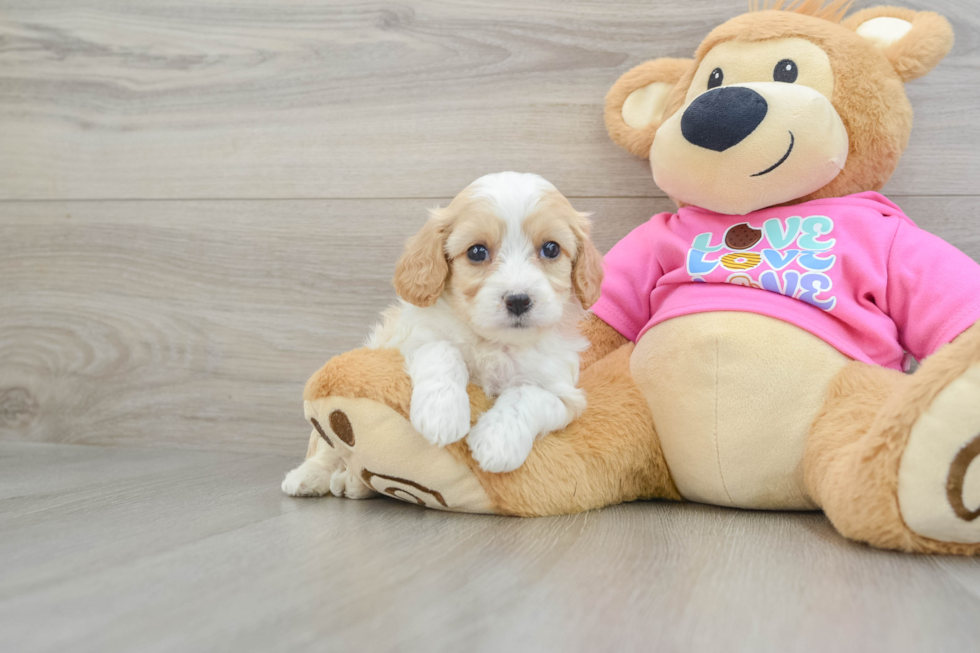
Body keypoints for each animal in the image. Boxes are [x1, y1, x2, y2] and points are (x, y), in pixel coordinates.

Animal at [366, 171, 600, 472]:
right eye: (477, 252)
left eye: (551, 249)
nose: (518, 300)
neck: (496, 343)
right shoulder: (409, 337)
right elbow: (441, 349)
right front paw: (441, 412)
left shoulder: (563, 394)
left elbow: (526, 396)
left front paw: (497, 441)